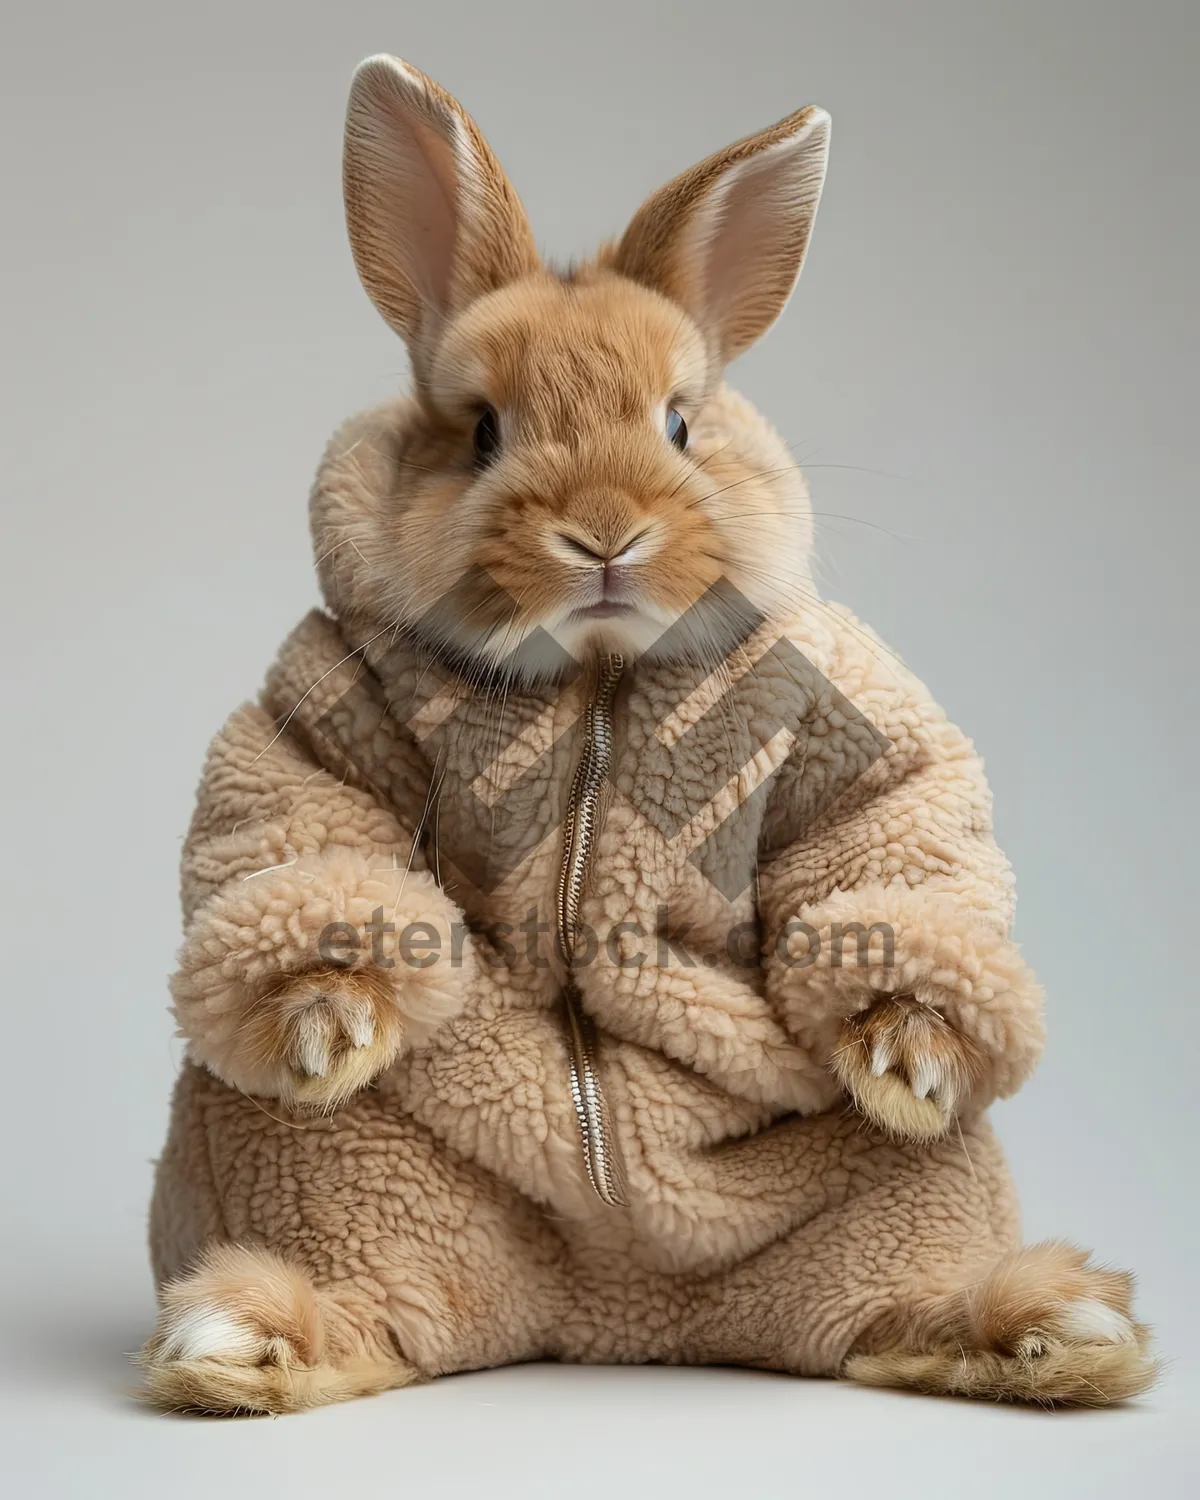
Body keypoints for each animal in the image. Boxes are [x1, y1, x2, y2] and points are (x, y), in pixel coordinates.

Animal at [138, 58, 1152, 1410]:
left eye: (679, 422)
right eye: (483, 431)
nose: (605, 532)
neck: (598, 681)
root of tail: (609, 1309)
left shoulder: (849, 726)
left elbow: (889, 831)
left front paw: (914, 1053)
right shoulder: (322, 710)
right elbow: (305, 823)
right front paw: (326, 1021)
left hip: (901, 1190)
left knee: (895, 1303)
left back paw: (1048, 1327)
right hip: (335, 1171)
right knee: (373, 1307)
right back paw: (242, 1337)